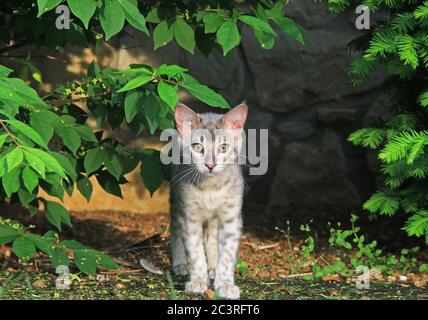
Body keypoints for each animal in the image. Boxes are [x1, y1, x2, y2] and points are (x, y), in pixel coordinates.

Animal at [168, 103, 247, 300]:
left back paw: (213, 266)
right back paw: (180, 264)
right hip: (176, 198)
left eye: (223, 147)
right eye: (197, 147)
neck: (211, 187)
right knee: (175, 227)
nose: (211, 165)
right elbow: (195, 251)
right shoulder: (189, 215)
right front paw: (198, 281)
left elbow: (227, 253)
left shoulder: (231, 216)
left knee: (211, 235)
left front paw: (225, 283)